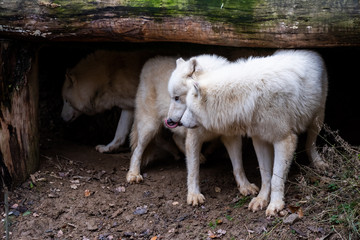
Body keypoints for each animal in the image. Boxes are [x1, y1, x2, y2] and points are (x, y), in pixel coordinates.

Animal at [167, 50, 328, 216]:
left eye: (180, 100)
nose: (174, 122)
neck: (251, 95)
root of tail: (309, 51)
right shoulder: (259, 140)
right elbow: (265, 175)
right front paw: (261, 199)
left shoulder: (284, 140)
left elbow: (276, 178)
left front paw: (275, 204)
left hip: (317, 120)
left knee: (311, 143)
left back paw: (318, 163)